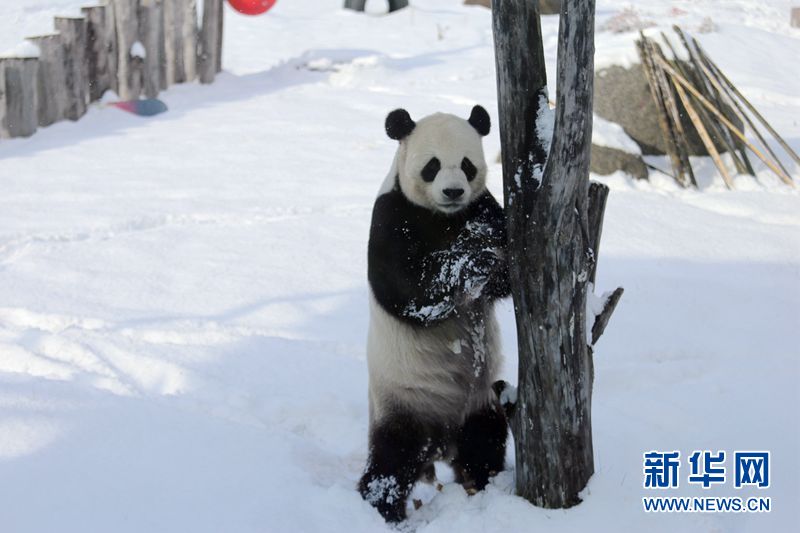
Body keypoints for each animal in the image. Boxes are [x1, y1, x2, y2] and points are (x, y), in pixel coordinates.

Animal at [358, 105, 510, 522]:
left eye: (467, 165)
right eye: (432, 166)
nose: (454, 191)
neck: (445, 219)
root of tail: (440, 443)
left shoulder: (484, 206)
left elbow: (506, 270)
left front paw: (487, 255)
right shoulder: (392, 216)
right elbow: (410, 292)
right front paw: (470, 261)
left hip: (479, 401)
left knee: (485, 443)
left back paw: (479, 484)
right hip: (404, 401)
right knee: (392, 461)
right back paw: (383, 509)